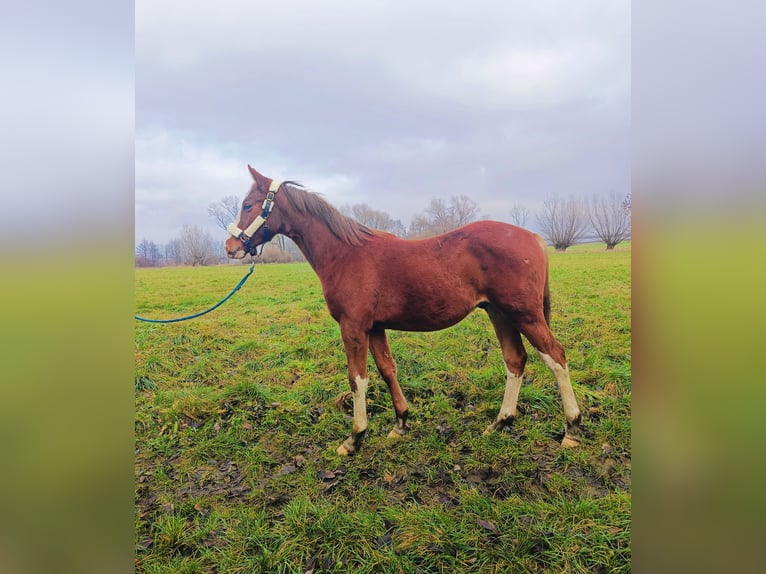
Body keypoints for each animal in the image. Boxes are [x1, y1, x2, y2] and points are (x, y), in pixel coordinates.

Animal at [224, 165, 582, 456]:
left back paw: (572, 429)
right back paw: (500, 423)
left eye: (247, 205)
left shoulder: (353, 327)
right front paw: (400, 423)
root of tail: (534, 237)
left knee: (556, 356)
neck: (345, 254)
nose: (230, 247)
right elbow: (387, 371)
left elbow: (357, 379)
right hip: (499, 313)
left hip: (525, 315)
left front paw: (354, 438)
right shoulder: (375, 327)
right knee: (515, 360)